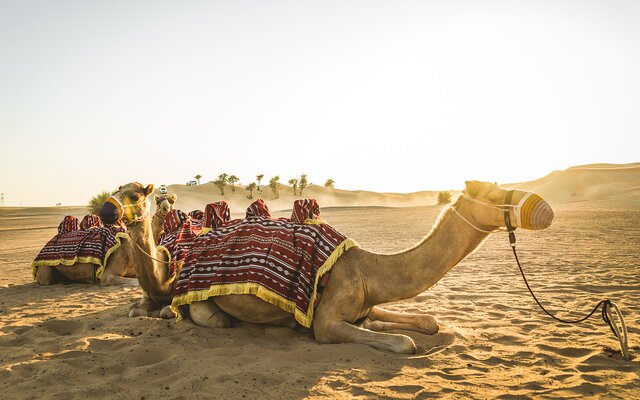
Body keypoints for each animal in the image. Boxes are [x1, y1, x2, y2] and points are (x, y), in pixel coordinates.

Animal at [129, 181, 554, 353]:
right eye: (495, 195)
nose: (545, 208)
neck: (367, 269)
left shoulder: (366, 302)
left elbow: (427, 322)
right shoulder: (326, 323)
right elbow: (404, 342)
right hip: (198, 301)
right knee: (204, 316)